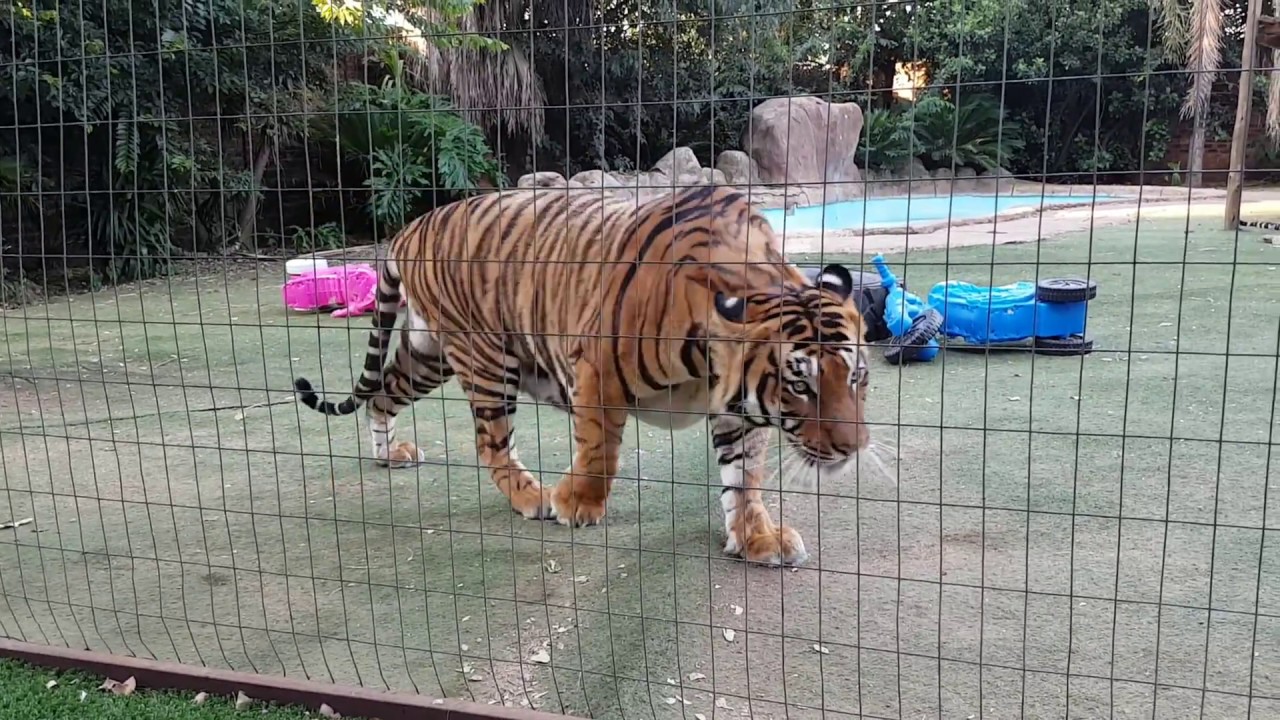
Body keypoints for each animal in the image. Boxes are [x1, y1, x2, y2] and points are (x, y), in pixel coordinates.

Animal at [292, 184, 871, 567]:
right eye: (801, 384)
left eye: (857, 379)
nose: (854, 448)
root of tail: (410, 227)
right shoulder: (597, 370)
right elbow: (600, 449)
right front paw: (577, 503)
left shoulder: (739, 407)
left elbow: (744, 477)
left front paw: (757, 539)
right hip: (484, 358)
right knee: (490, 442)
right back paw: (533, 498)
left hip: (427, 354)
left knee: (381, 394)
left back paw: (388, 453)